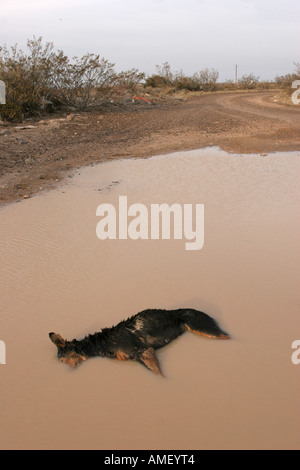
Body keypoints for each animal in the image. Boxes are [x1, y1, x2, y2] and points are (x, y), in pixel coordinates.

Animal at [50, 306, 231, 376]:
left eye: (63, 359)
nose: (68, 372)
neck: (100, 344)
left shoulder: (143, 351)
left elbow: (157, 373)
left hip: (204, 329)